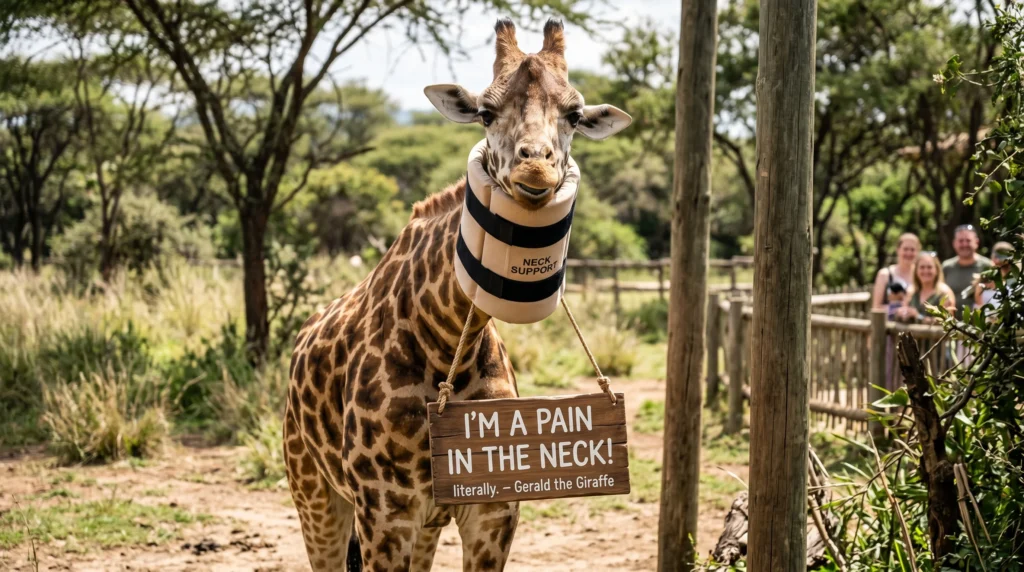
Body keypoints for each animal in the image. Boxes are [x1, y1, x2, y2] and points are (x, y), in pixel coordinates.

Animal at [284, 18, 631, 572]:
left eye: (575, 115)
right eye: (485, 113)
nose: (535, 170)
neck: (448, 340)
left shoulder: (491, 508)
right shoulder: (385, 510)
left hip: (421, 522)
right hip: (314, 492)